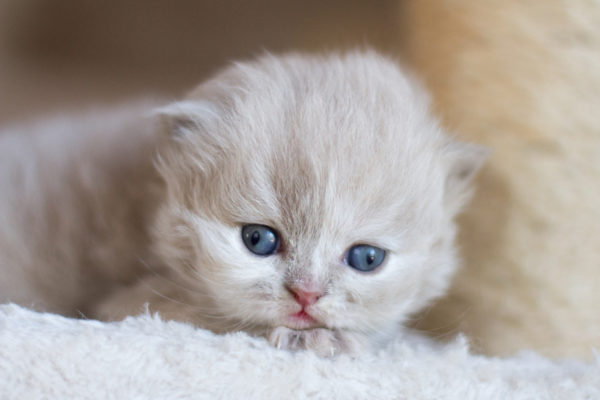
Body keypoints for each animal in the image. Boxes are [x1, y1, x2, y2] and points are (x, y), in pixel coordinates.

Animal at [0, 52, 486, 356]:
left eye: (367, 258)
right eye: (258, 240)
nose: (307, 294)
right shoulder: (127, 304)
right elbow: (224, 319)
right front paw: (318, 341)